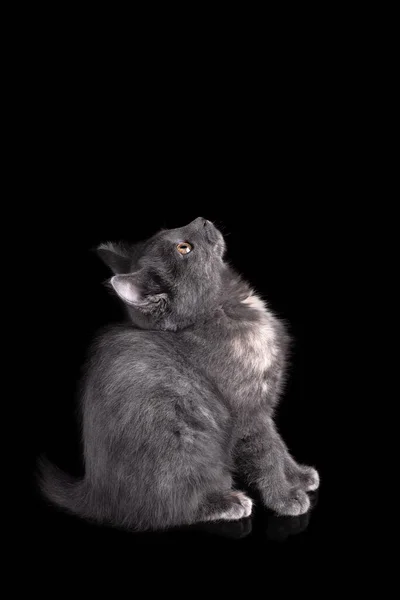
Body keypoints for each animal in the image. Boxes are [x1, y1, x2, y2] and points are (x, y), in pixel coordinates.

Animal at [39, 218, 318, 532]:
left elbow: (279, 445)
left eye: (171, 230)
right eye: (184, 248)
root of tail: (96, 496)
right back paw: (227, 503)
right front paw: (286, 498)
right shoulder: (247, 413)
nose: (201, 220)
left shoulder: (263, 408)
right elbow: (267, 454)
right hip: (185, 443)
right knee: (169, 508)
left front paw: (299, 477)